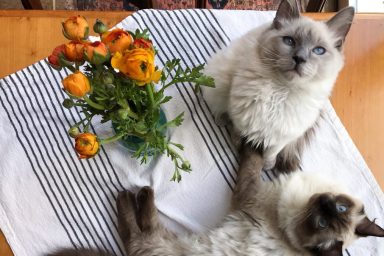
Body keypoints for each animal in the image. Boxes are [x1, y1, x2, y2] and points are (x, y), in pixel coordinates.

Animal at [50, 144, 384, 256]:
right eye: (338, 208)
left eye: (323, 222)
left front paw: (254, 142)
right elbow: (270, 158)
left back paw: (134, 193)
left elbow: (251, 160)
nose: (325, 204)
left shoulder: (248, 193)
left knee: (136, 230)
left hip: (158, 242)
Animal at [202, 0, 356, 172]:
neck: (281, 91)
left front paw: (267, 165)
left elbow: (271, 152)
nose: (299, 58)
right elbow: (237, 134)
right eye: (289, 41)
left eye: (318, 50)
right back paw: (221, 120)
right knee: (217, 108)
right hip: (218, 82)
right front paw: (237, 146)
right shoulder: (241, 118)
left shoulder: (284, 134)